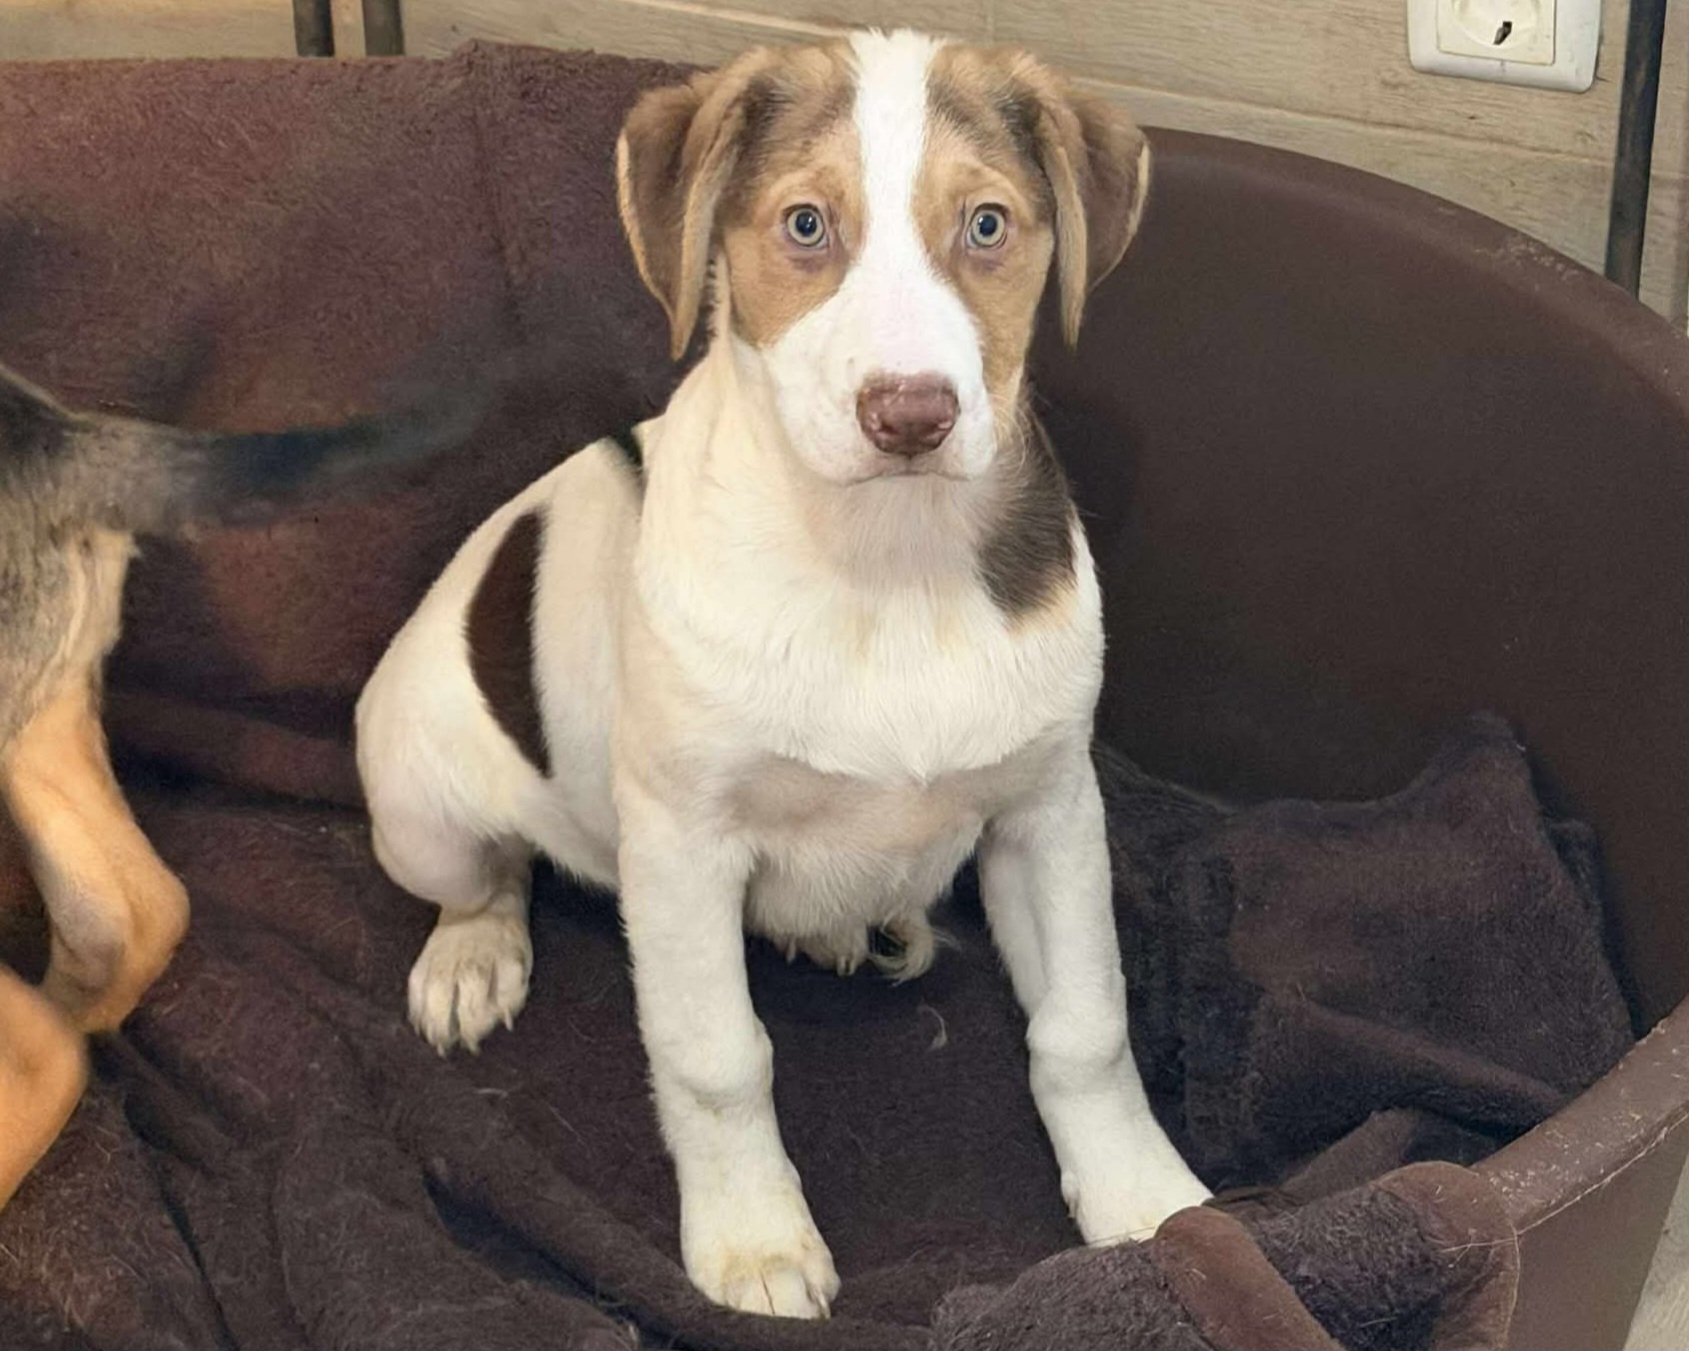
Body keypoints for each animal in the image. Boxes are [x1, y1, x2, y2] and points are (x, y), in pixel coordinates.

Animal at [356, 29, 1211, 1319]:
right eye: (806, 225)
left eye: (989, 225)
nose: (910, 414)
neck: (887, 559)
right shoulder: (682, 846)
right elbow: (717, 1059)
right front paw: (754, 1242)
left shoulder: (1049, 810)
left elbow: (1084, 1026)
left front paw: (1140, 1196)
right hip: (422, 805)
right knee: (487, 875)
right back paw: (473, 954)